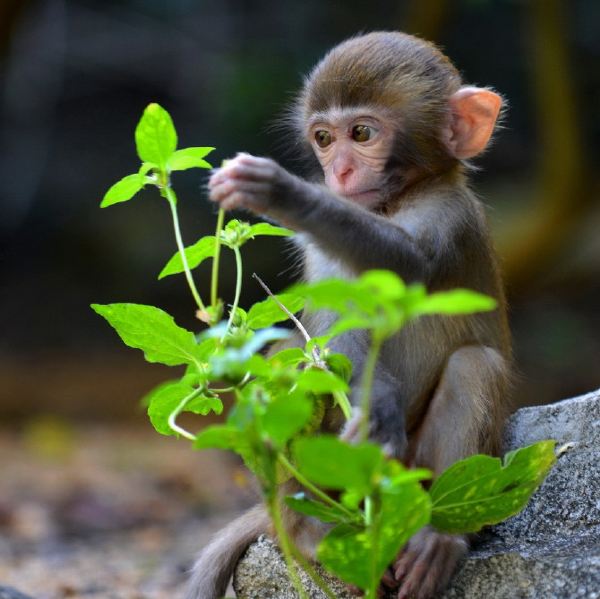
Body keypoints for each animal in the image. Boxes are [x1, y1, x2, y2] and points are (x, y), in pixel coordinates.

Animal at [188, 31, 510, 599]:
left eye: (361, 133)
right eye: (322, 138)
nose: (337, 172)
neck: (396, 201)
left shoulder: (451, 216)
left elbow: (407, 266)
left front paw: (285, 192)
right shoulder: (328, 259)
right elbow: (330, 336)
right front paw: (375, 407)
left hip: (412, 481)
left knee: (475, 364)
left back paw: (440, 537)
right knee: (292, 358)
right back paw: (310, 529)